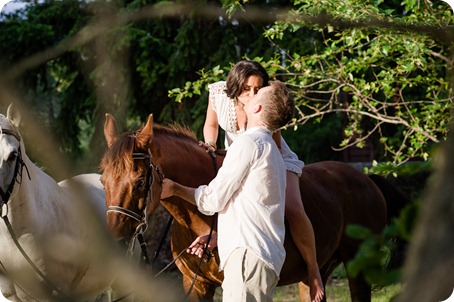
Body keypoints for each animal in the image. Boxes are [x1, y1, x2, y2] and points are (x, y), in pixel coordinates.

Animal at [101, 114, 410, 302]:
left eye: (140, 181)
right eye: (103, 180)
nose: (114, 240)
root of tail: (367, 179)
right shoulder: (196, 284)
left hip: (359, 267)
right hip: (316, 274)